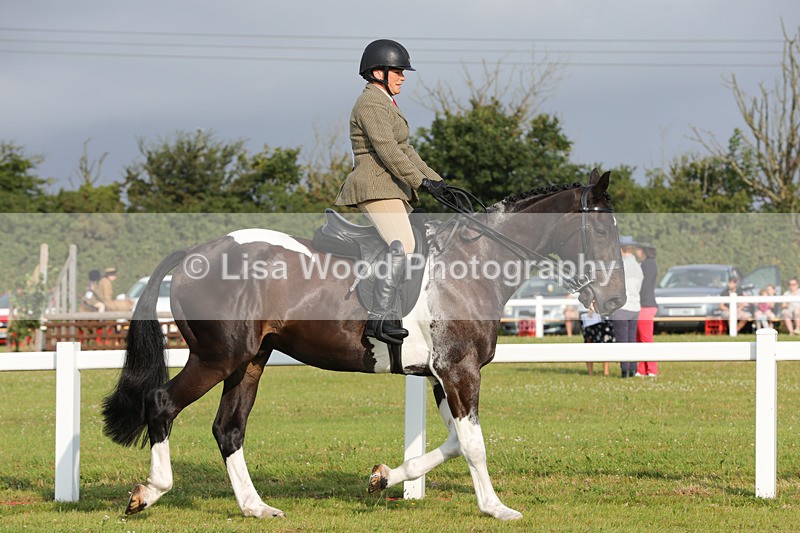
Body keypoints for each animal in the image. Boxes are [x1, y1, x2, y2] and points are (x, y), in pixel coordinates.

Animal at [101, 168, 626, 521]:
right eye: (602, 229)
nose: (615, 299)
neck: (475, 263)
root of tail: (194, 253)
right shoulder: (459, 370)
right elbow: (474, 444)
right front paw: (495, 508)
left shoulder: (442, 376)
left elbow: (455, 442)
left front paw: (383, 477)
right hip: (217, 357)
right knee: (162, 403)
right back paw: (149, 492)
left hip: (249, 361)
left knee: (229, 429)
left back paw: (256, 507)